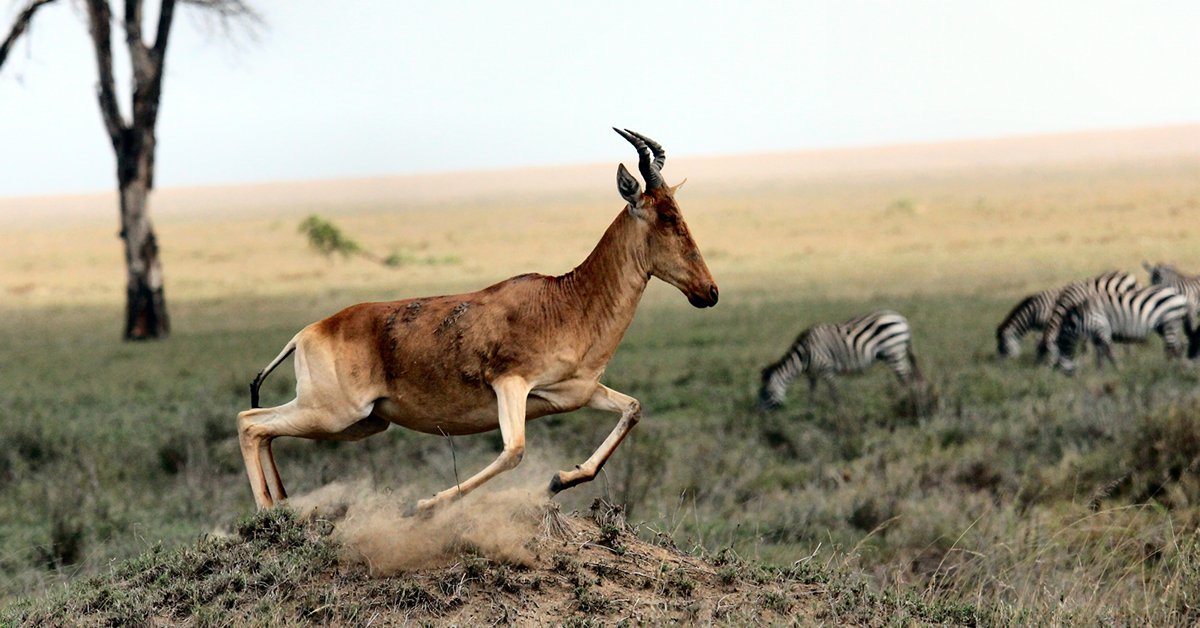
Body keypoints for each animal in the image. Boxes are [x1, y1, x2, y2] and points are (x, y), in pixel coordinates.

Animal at [237, 129, 719, 513]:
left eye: (680, 212)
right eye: (667, 217)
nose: (709, 292)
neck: (565, 300)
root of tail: (308, 332)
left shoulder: (576, 393)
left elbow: (632, 410)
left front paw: (559, 480)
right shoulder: (511, 384)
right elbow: (514, 451)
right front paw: (426, 504)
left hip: (363, 422)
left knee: (265, 429)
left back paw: (283, 505)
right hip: (335, 412)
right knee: (250, 421)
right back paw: (267, 514)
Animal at [757, 310, 922, 410]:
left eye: (766, 393)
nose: (759, 416)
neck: (804, 356)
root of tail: (901, 318)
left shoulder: (827, 369)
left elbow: (834, 393)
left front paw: (840, 414)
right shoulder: (812, 374)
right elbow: (811, 394)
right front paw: (810, 412)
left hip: (894, 352)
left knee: (905, 378)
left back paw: (904, 402)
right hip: (897, 353)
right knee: (909, 376)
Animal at [1052, 284, 1189, 374]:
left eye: (1057, 362)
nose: (1066, 376)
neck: (1082, 318)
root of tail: (1179, 295)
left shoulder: (1102, 329)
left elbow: (1109, 352)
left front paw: (1119, 369)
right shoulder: (1096, 336)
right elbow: (1099, 355)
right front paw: (1099, 373)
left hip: (1170, 322)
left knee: (1171, 349)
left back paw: (1167, 370)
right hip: (1165, 326)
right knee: (1177, 348)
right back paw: (1179, 368)